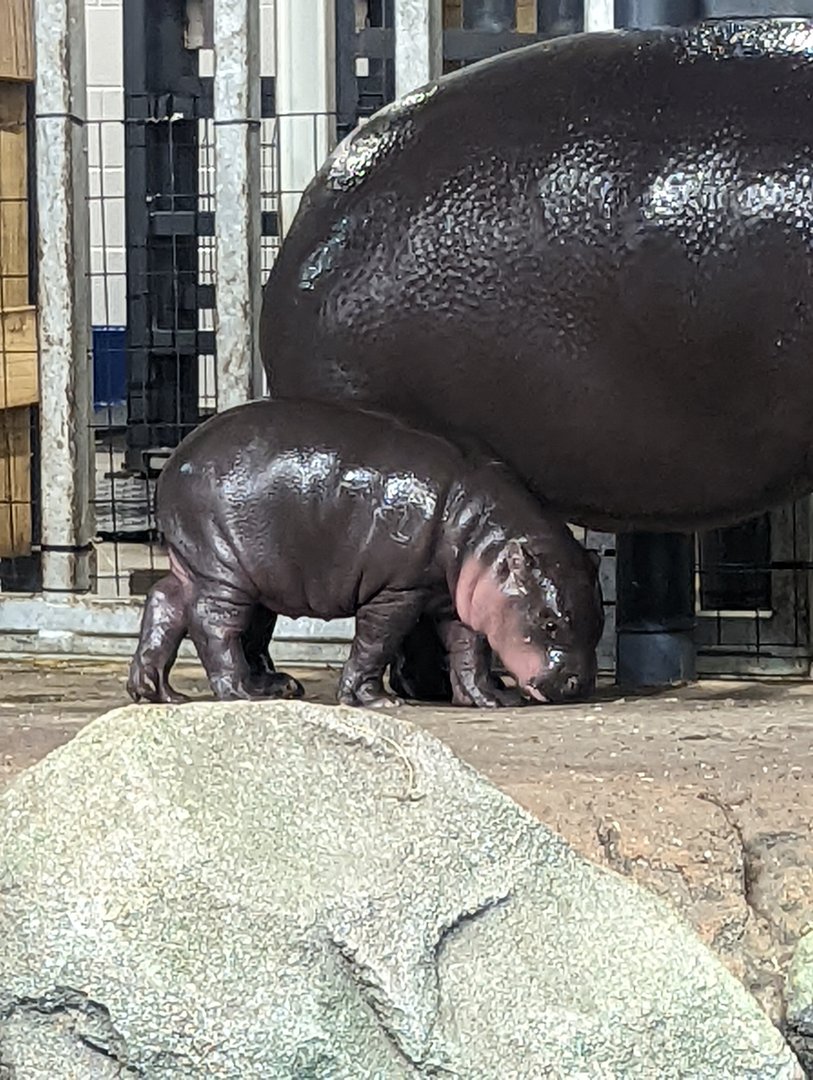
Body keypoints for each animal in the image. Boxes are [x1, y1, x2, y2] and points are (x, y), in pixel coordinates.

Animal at [127, 399, 604, 708]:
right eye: (549, 621)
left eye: (600, 620)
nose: (576, 685)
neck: (480, 532)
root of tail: (176, 458)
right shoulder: (397, 591)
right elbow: (377, 641)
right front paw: (375, 701)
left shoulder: (454, 599)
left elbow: (469, 649)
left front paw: (490, 698)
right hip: (224, 567)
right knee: (214, 624)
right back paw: (244, 693)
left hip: (202, 564)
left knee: (165, 602)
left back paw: (159, 693)